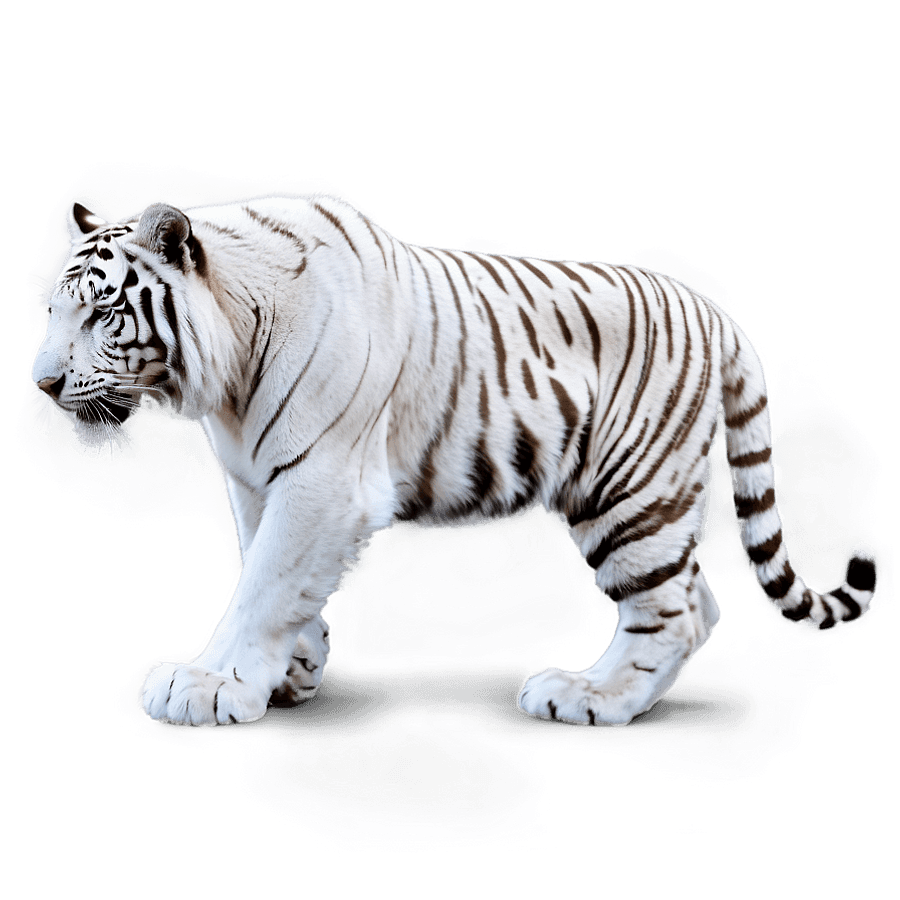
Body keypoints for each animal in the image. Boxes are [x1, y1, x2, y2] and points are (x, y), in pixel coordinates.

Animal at [29, 192, 879, 727]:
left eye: (103, 312)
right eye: (52, 312)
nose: (42, 384)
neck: (227, 372)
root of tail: (715, 312)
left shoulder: (326, 480)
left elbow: (264, 584)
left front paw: (208, 683)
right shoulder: (257, 482)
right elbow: (273, 577)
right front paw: (290, 673)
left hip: (626, 489)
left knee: (673, 610)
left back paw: (589, 697)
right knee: (695, 600)